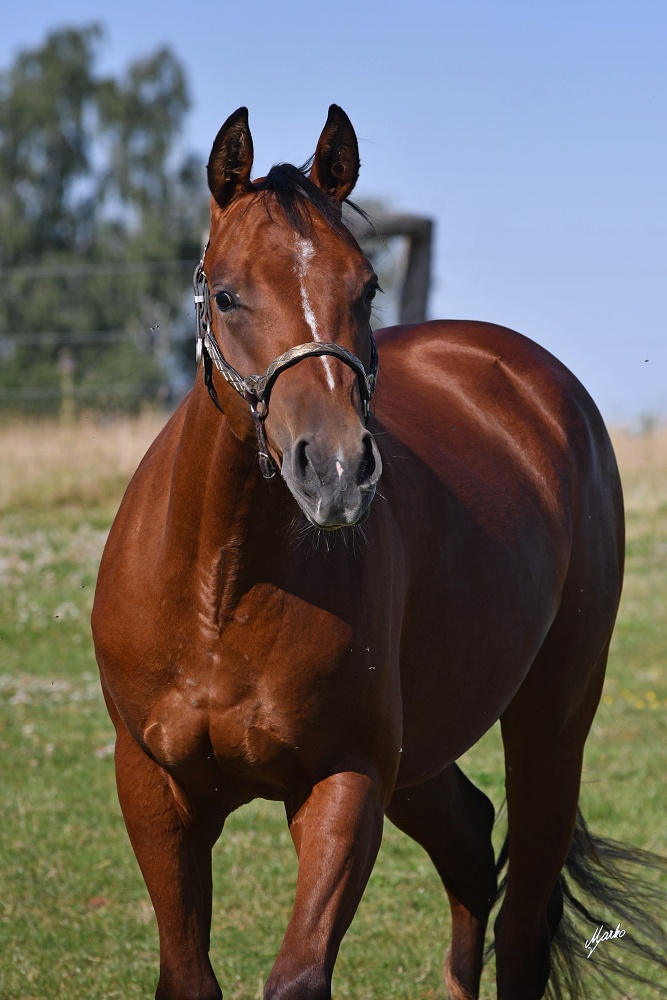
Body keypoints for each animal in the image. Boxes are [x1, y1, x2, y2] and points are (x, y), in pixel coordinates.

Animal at [91, 105, 660, 996]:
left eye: (365, 287)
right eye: (227, 295)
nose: (334, 470)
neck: (221, 590)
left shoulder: (344, 780)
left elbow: (297, 976)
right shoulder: (154, 788)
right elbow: (188, 975)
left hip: (550, 721)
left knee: (520, 923)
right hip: (422, 753)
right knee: (469, 844)